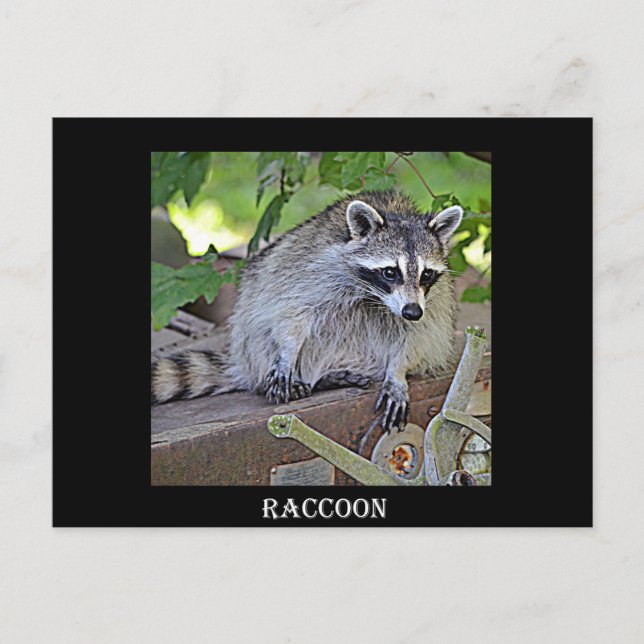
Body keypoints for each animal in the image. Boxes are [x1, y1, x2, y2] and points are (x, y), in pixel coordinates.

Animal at [152, 190, 463, 432]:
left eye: (425, 275)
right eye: (390, 272)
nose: (412, 312)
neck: (374, 296)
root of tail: (243, 363)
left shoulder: (432, 300)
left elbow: (419, 335)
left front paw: (398, 372)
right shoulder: (314, 271)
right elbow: (291, 314)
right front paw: (288, 353)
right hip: (250, 326)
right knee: (259, 326)